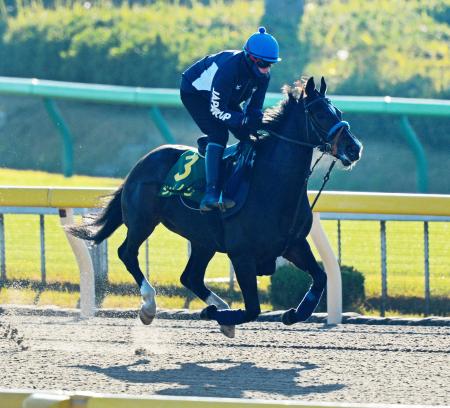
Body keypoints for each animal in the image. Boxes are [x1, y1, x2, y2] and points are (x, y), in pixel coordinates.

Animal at [68, 76, 362, 338]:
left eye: (338, 111)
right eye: (320, 114)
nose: (354, 148)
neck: (271, 185)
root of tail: (141, 163)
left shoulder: (294, 244)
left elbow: (321, 277)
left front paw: (292, 314)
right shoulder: (242, 254)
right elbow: (252, 309)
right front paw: (215, 315)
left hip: (203, 240)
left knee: (190, 277)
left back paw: (218, 307)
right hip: (143, 220)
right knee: (128, 253)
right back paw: (151, 306)